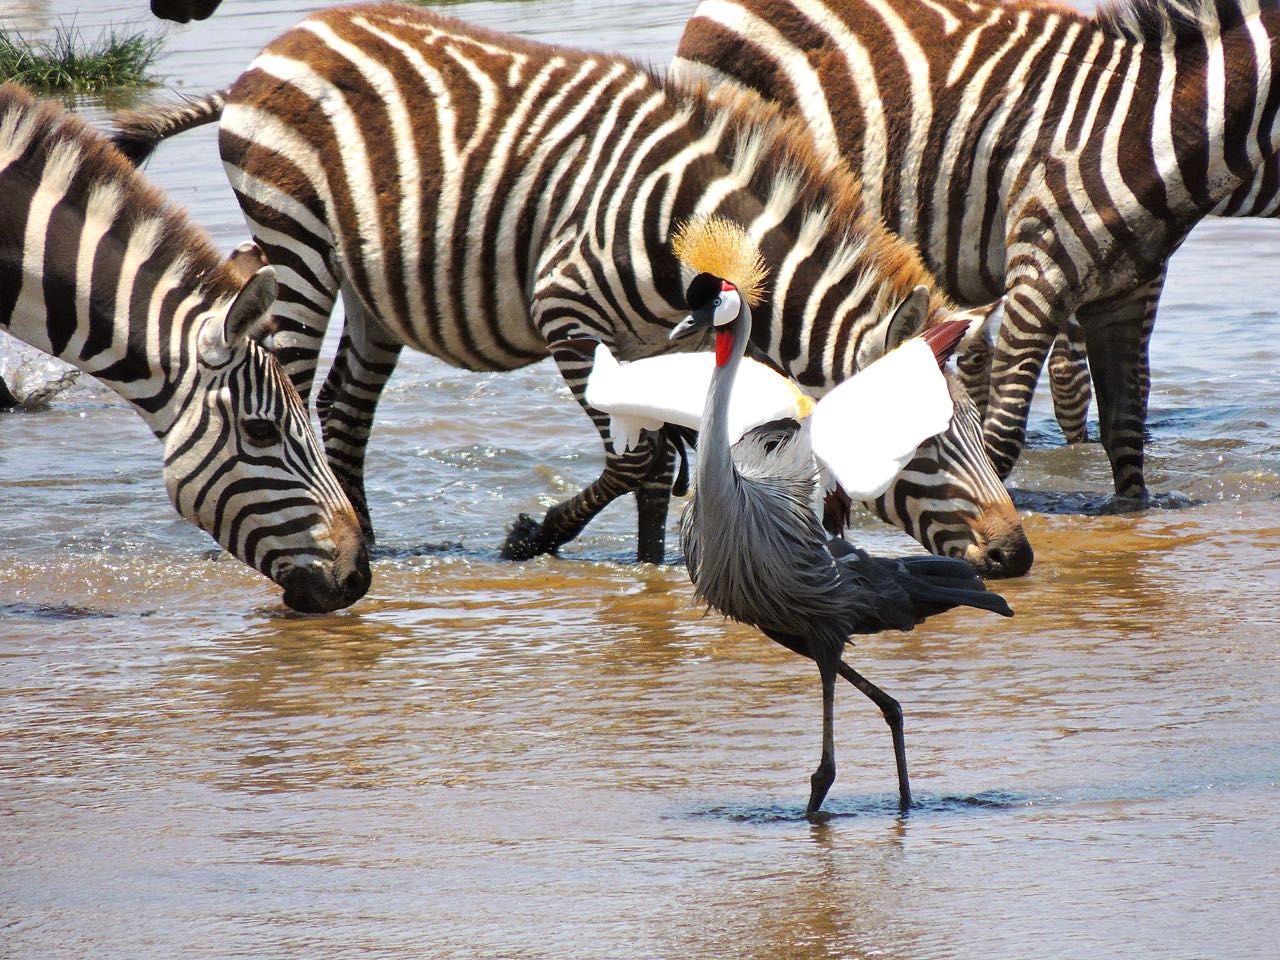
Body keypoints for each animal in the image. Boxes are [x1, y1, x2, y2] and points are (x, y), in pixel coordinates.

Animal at [110, 3, 1029, 578]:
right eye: (922, 443)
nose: (1016, 555)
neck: (695, 232)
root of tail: (279, 47)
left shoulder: (659, 340)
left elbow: (657, 465)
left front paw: (657, 569)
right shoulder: (570, 312)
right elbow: (639, 460)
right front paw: (533, 535)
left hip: (372, 292)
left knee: (342, 412)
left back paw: (359, 540)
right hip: (296, 243)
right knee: (294, 387)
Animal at [675, 0, 1280, 504]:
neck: (1141, 132)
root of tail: (710, 11)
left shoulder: (1129, 290)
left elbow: (1125, 424)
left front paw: (1128, 519)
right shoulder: (1040, 272)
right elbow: (1009, 428)